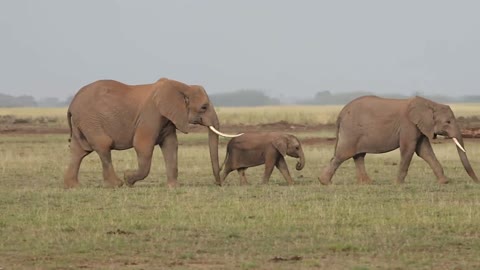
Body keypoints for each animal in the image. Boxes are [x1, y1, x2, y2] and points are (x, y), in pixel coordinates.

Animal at [62, 77, 244, 188]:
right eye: (204, 107)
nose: (219, 184)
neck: (181, 86)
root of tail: (71, 104)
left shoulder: (167, 118)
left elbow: (171, 146)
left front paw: (173, 187)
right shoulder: (151, 115)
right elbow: (143, 146)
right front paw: (128, 179)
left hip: (83, 122)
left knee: (79, 151)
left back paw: (73, 186)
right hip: (90, 120)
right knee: (103, 146)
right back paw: (116, 184)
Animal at [316, 95, 478, 186]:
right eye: (448, 122)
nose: (477, 181)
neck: (430, 104)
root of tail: (341, 113)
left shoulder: (419, 126)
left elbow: (424, 151)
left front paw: (444, 182)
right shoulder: (408, 124)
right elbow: (409, 149)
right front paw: (397, 184)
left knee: (358, 156)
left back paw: (368, 183)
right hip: (351, 132)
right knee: (342, 155)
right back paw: (324, 182)